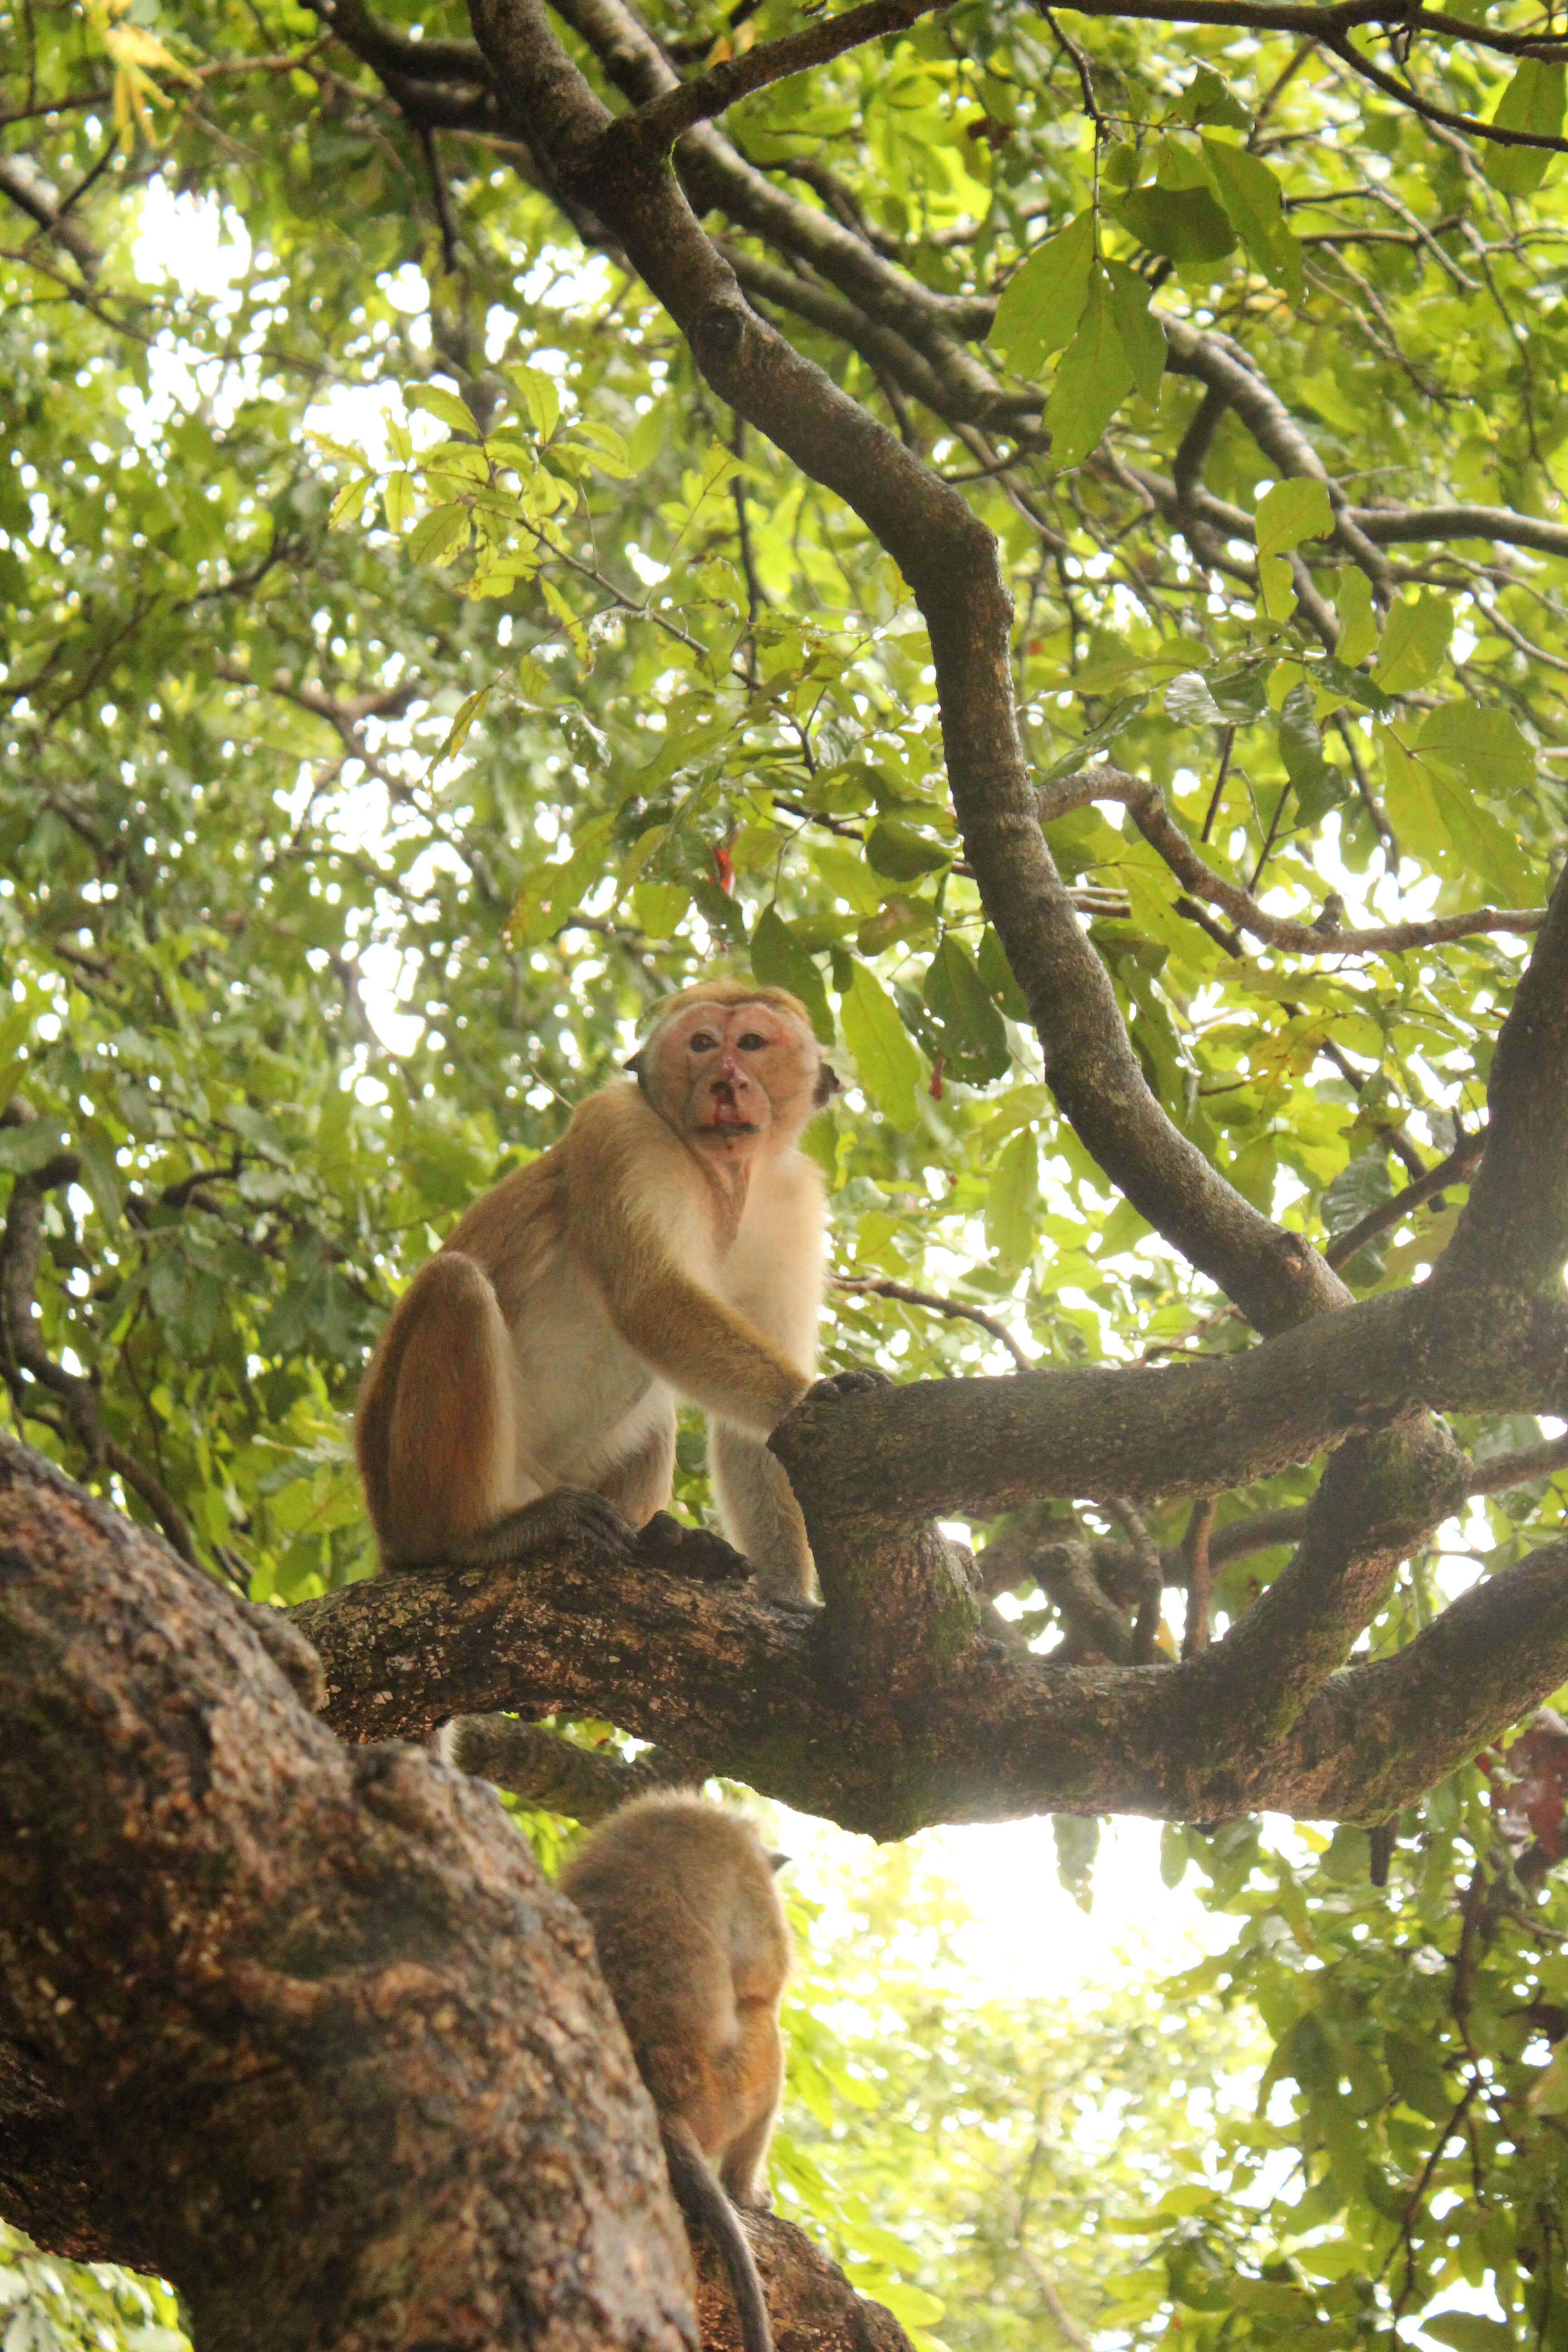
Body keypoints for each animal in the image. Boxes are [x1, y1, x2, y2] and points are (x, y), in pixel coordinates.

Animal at [357, 983, 846, 1608]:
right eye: (703, 1043)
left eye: (753, 1043)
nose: (726, 1080)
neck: (723, 1179)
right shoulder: (619, 1130)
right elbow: (649, 1301)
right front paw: (811, 1394)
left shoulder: (792, 1199)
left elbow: (753, 1433)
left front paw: (787, 1594)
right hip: (408, 1495)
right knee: (456, 1286)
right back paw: (473, 1536)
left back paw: (663, 1547)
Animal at [562, 1787, 799, 2352]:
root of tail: (661, 2106)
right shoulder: (748, 1875)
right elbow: (764, 1977)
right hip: (731, 2091)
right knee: (765, 2025)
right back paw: (743, 2191)